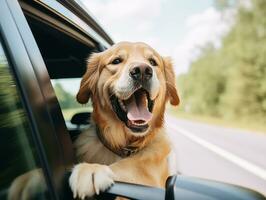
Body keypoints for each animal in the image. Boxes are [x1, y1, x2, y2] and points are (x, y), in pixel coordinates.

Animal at [68, 41, 180, 199]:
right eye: (116, 61)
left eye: (152, 62)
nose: (142, 71)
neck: (125, 145)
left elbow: (130, 165)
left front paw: (90, 169)